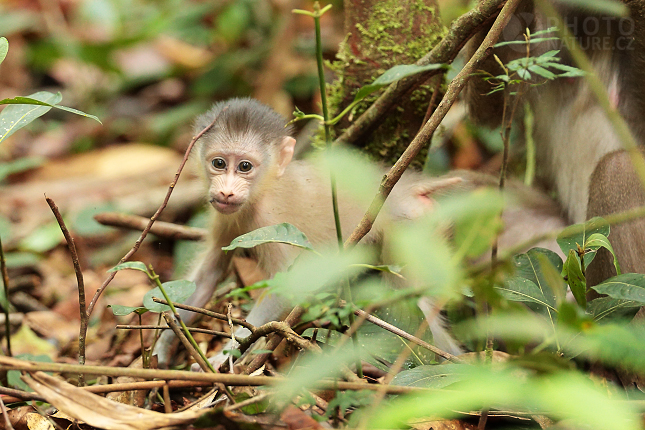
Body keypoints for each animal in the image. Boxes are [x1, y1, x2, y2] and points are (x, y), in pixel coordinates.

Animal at [153, 97, 568, 370]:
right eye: (218, 163)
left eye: (245, 167)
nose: (226, 191)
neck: (263, 191)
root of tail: (411, 186)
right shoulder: (229, 218)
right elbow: (207, 275)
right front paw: (162, 346)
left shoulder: (267, 220)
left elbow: (288, 285)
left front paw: (226, 357)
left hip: (411, 225)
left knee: (417, 304)